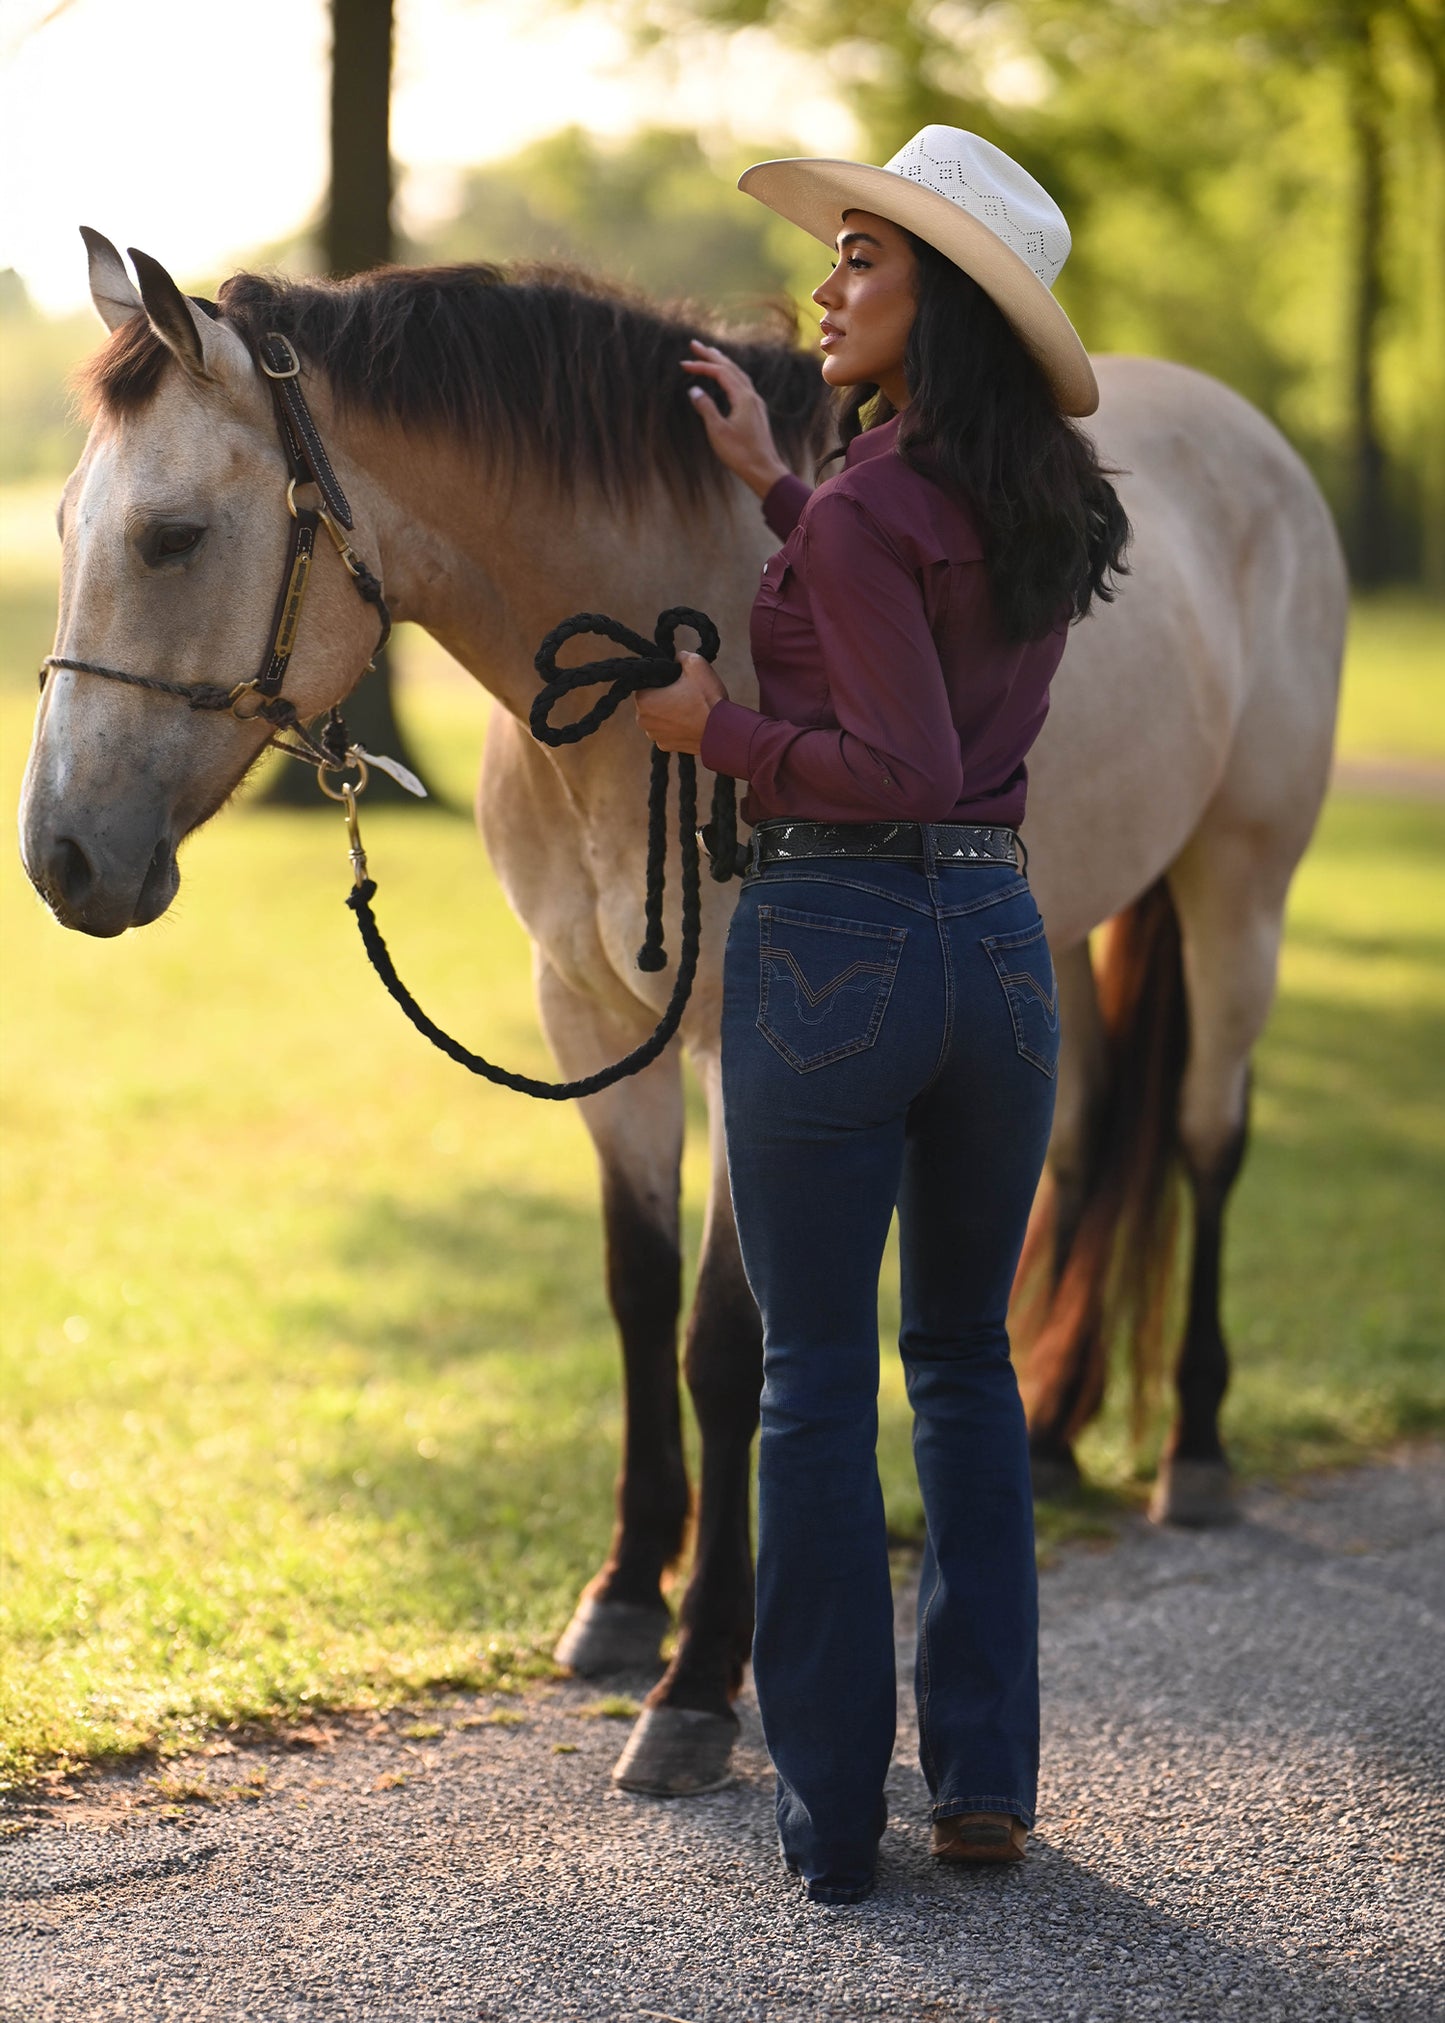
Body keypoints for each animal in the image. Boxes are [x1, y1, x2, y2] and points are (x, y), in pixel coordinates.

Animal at [19, 236, 1347, 1796]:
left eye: (169, 536)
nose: (61, 857)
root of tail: (1248, 439)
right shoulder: (591, 1022)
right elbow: (636, 1292)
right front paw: (619, 1599)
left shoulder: (750, 1048)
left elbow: (727, 1339)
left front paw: (701, 1678)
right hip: (1060, 918)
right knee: (1078, 1150)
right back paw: (1058, 1438)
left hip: (1238, 888)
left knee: (1206, 1138)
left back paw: (1190, 1447)